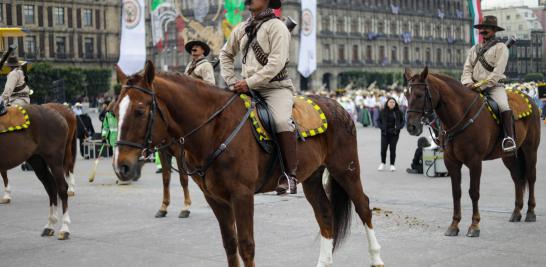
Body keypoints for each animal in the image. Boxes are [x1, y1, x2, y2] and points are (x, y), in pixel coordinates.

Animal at [0, 104, 73, 241]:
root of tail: (59, 113)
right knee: (51, 187)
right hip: (37, 161)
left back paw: (64, 228)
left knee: (62, 188)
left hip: (54, 161)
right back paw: (50, 225)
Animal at [112, 61, 380, 266]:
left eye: (139, 111)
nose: (121, 166)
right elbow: (230, 244)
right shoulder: (216, 198)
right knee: (325, 214)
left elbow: (246, 245)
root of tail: (336, 105)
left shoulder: (242, 195)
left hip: (346, 169)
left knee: (363, 206)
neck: (214, 128)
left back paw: (376, 259)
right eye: (115, 111)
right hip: (312, 177)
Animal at [402, 67, 536, 239]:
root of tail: (528, 98)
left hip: (530, 149)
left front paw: (474, 225)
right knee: (517, 178)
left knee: (531, 177)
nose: (411, 127)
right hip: (509, 155)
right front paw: (454, 225)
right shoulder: (451, 162)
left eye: (419, 95)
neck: (460, 115)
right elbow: (456, 192)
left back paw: (530, 212)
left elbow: (474, 192)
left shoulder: (475, 162)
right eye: (406, 95)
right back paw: (517, 212)